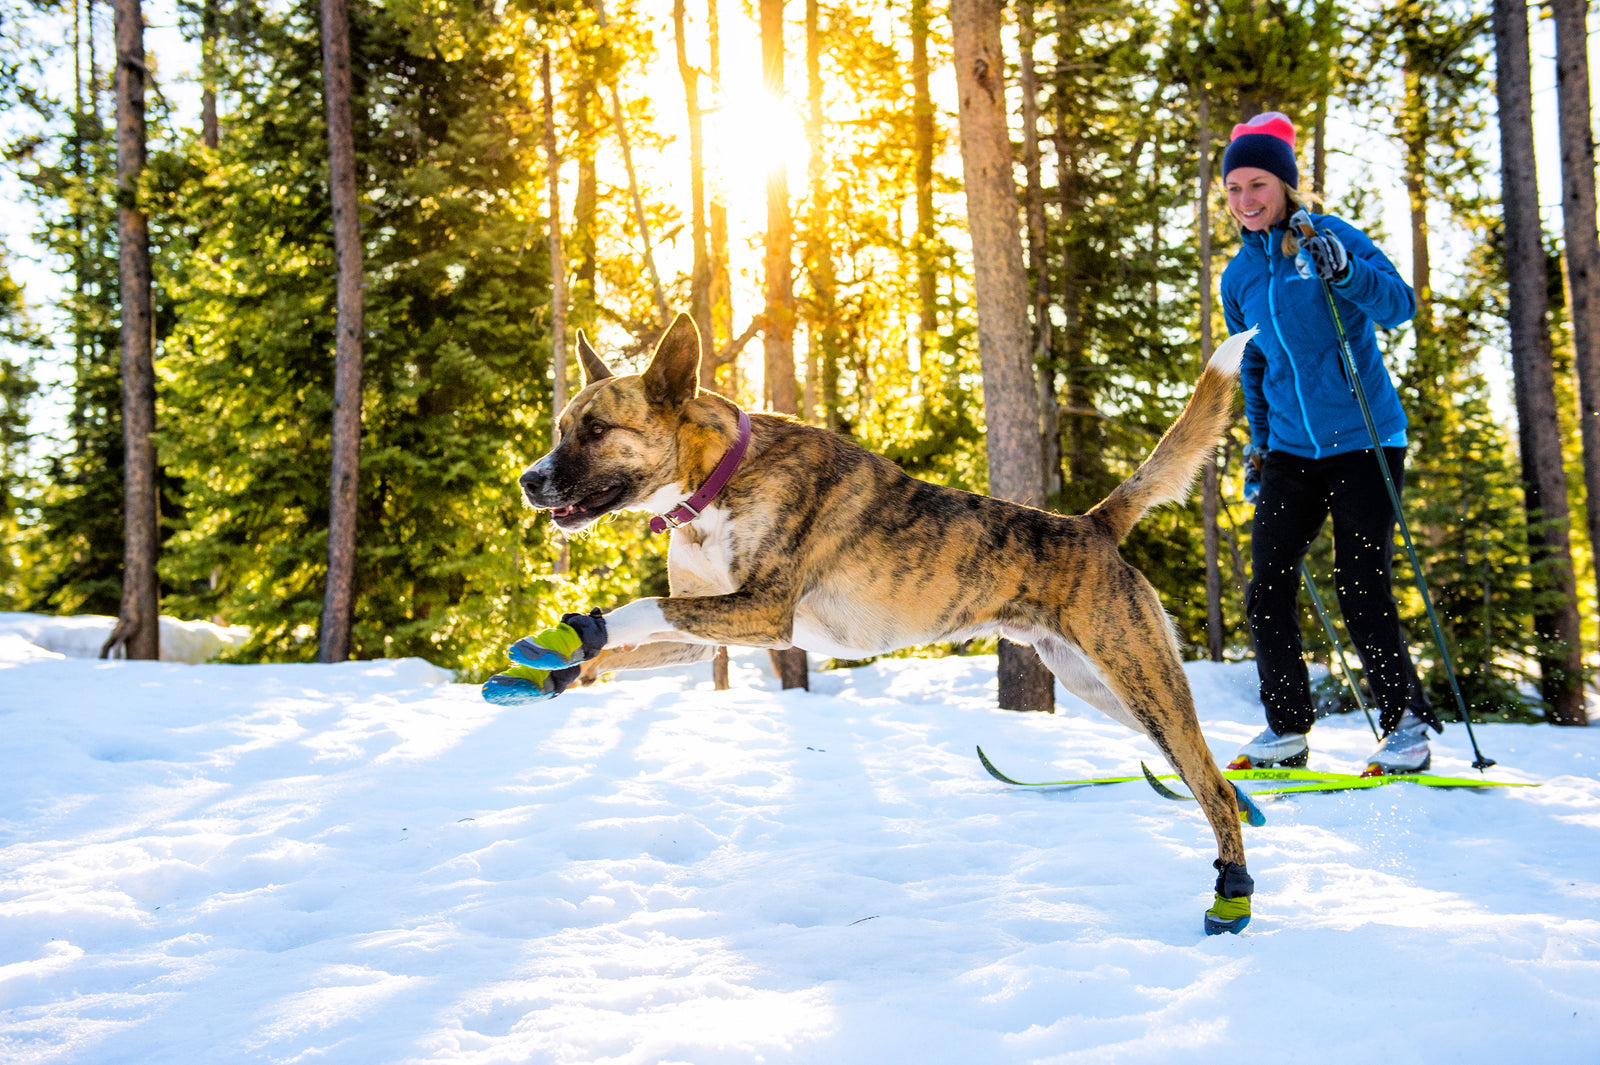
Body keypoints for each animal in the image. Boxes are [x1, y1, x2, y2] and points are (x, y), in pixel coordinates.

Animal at [518, 308, 1254, 927]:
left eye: (596, 430)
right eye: (561, 428)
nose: (528, 479)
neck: (717, 480)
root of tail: (1092, 525)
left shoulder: (762, 612)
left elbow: (640, 607)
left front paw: (577, 631)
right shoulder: (703, 634)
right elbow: (621, 648)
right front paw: (554, 664)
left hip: (1140, 677)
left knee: (1211, 786)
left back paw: (1232, 897)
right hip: (1099, 685)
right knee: (1209, 771)